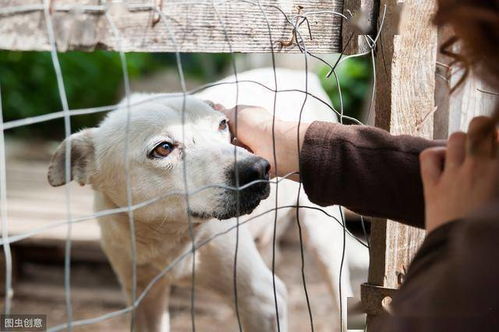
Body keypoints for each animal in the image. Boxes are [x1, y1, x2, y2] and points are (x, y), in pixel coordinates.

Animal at [47, 68, 368, 332]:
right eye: (163, 148)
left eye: (223, 125)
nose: (257, 169)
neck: (168, 237)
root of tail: (297, 73)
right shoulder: (143, 299)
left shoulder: (262, 299)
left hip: (322, 238)